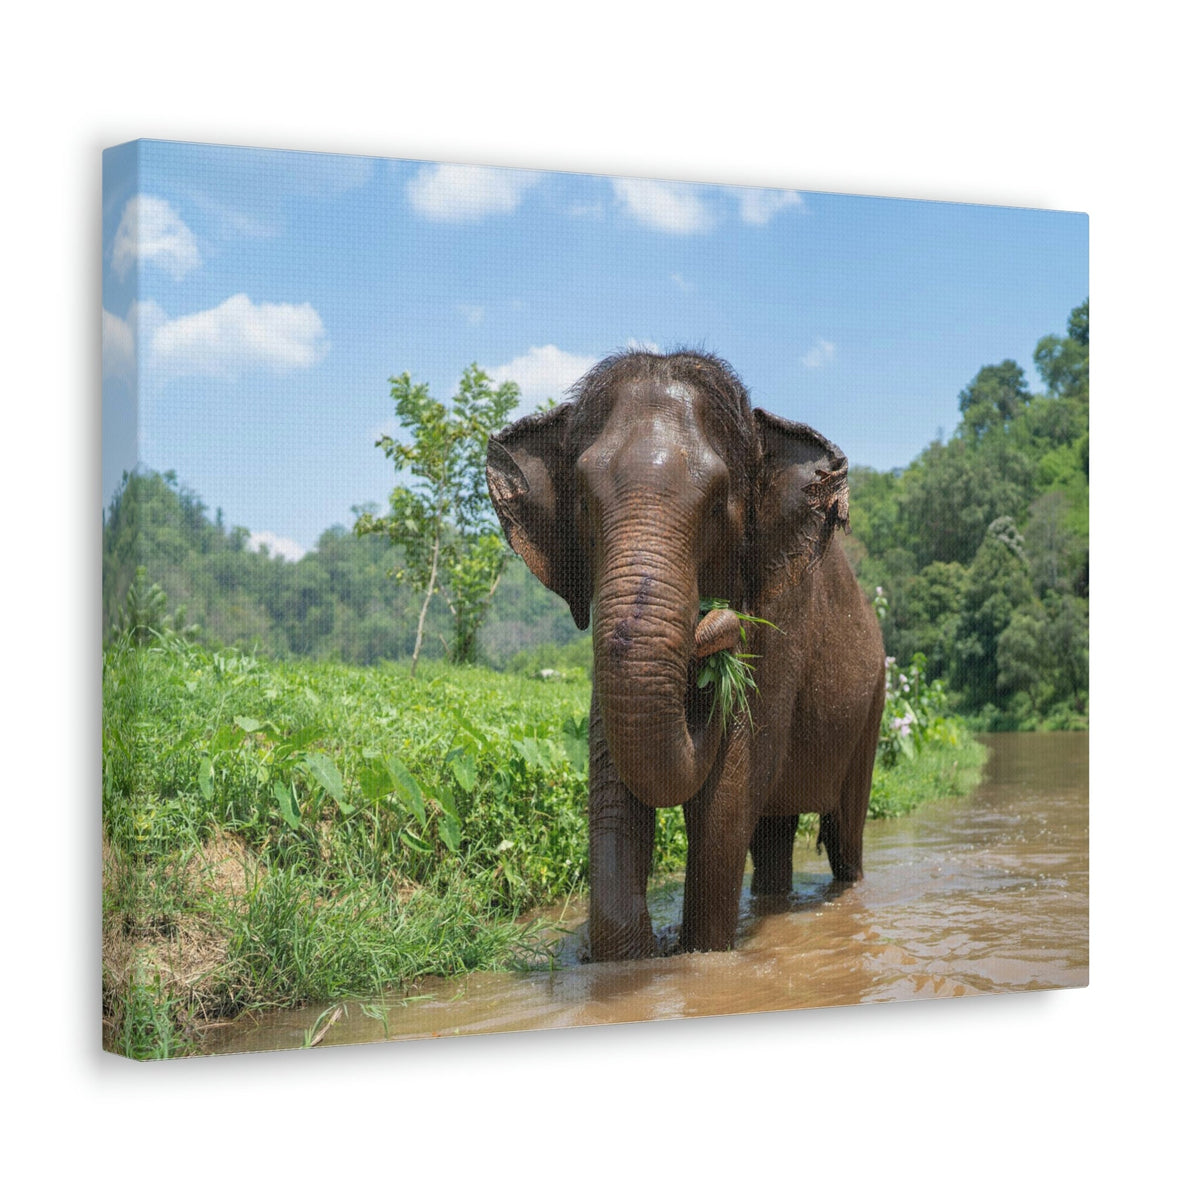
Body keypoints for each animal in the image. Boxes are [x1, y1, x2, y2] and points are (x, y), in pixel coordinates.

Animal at [486, 350, 885, 960]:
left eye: (718, 502)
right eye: (583, 502)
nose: (714, 623)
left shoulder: (780, 621)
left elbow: (724, 801)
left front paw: (700, 956)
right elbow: (617, 789)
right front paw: (636, 956)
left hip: (873, 704)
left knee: (844, 832)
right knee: (773, 831)